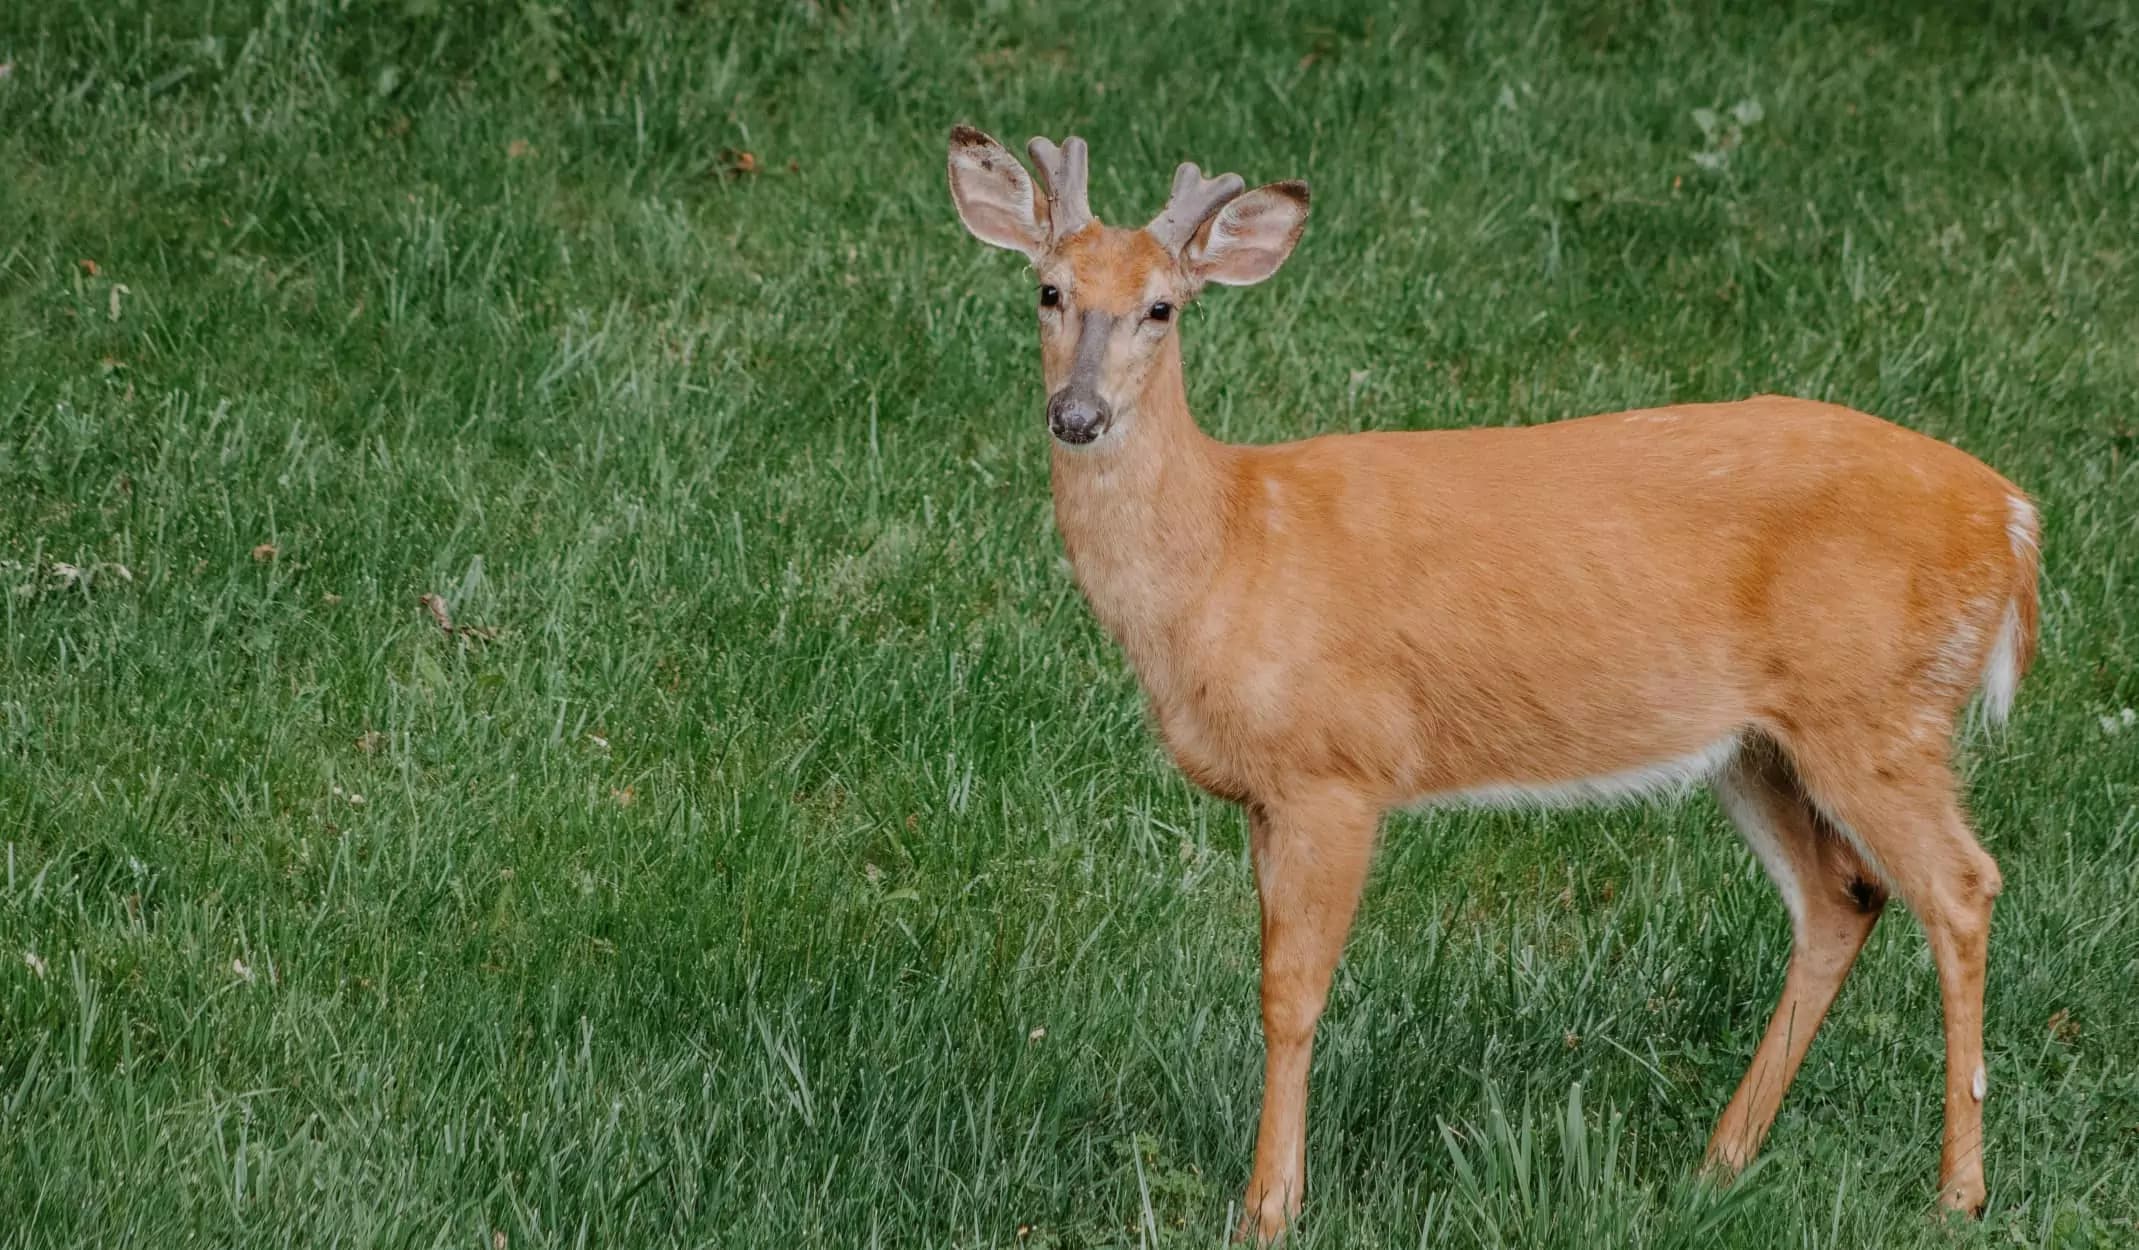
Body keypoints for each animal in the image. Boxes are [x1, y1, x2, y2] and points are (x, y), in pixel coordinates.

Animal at [945, 125, 2041, 1243]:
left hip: (1877, 707)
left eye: (1163, 306)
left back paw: (1958, 1189)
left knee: (1962, 885)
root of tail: (2011, 519)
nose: (1077, 413)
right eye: (1047, 289)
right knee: (1841, 895)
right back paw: (1719, 1161)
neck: (1229, 544)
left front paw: (1270, 1207)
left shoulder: (1335, 768)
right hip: (1761, 741)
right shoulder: (1263, 794)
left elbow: (1290, 993)